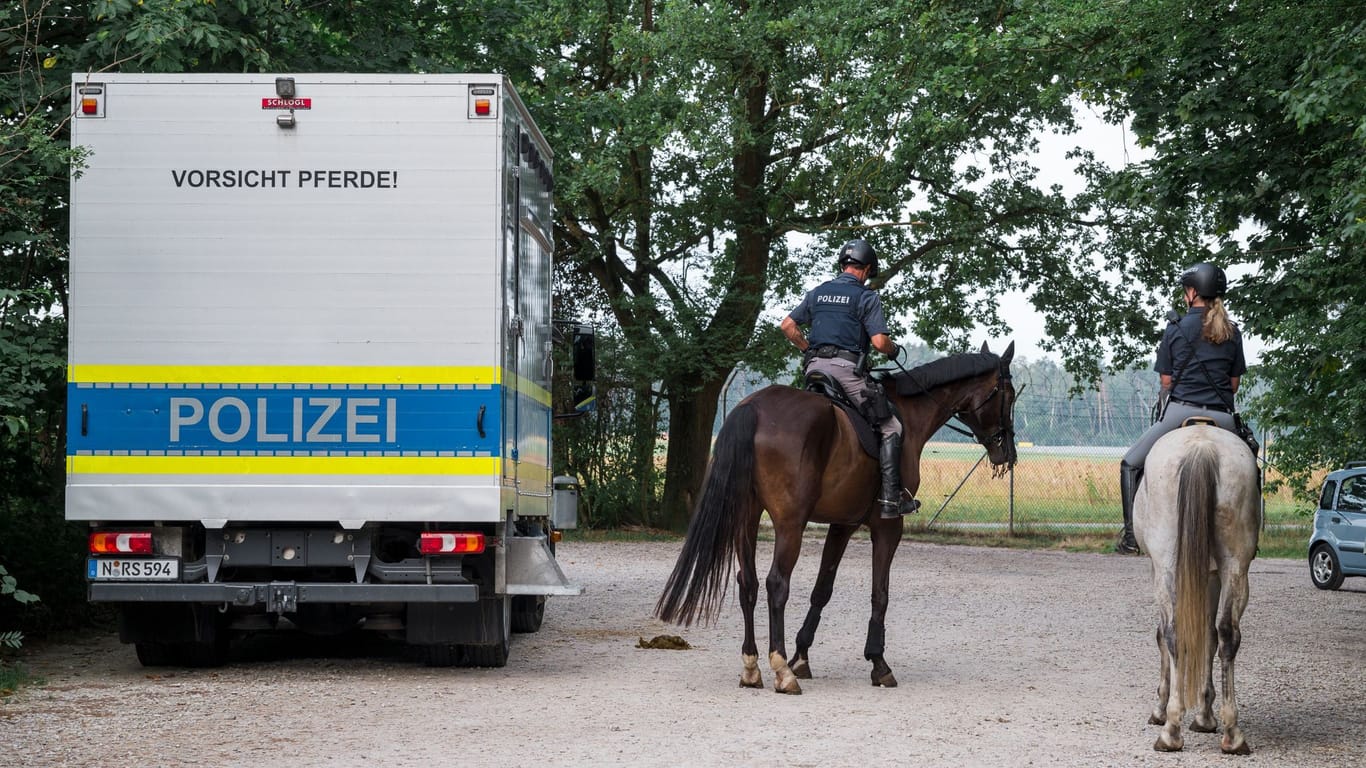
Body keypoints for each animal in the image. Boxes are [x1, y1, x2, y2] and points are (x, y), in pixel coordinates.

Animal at [655, 344, 1021, 691]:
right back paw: (781, 669)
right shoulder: (888, 526)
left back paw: (752, 666)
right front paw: (878, 663)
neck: (908, 412)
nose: (1007, 453)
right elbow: (880, 592)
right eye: (1009, 393)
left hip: (746, 518)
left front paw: (803, 656)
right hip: (790, 524)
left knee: (749, 582)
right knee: (776, 583)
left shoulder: (843, 524)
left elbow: (822, 589)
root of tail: (754, 408)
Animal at [1131, 420, 1256, 748]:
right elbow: (1208, 636)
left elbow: (1162, 636)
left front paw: (1161, 710)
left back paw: (1170, 730)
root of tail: (1202, 447)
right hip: (1236, 567)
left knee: (1172, 633)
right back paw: (1232, 733)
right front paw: (1205, 715)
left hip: (1165, 569)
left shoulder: (1156, 569)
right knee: (1227, 634)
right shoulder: (1211, 576)